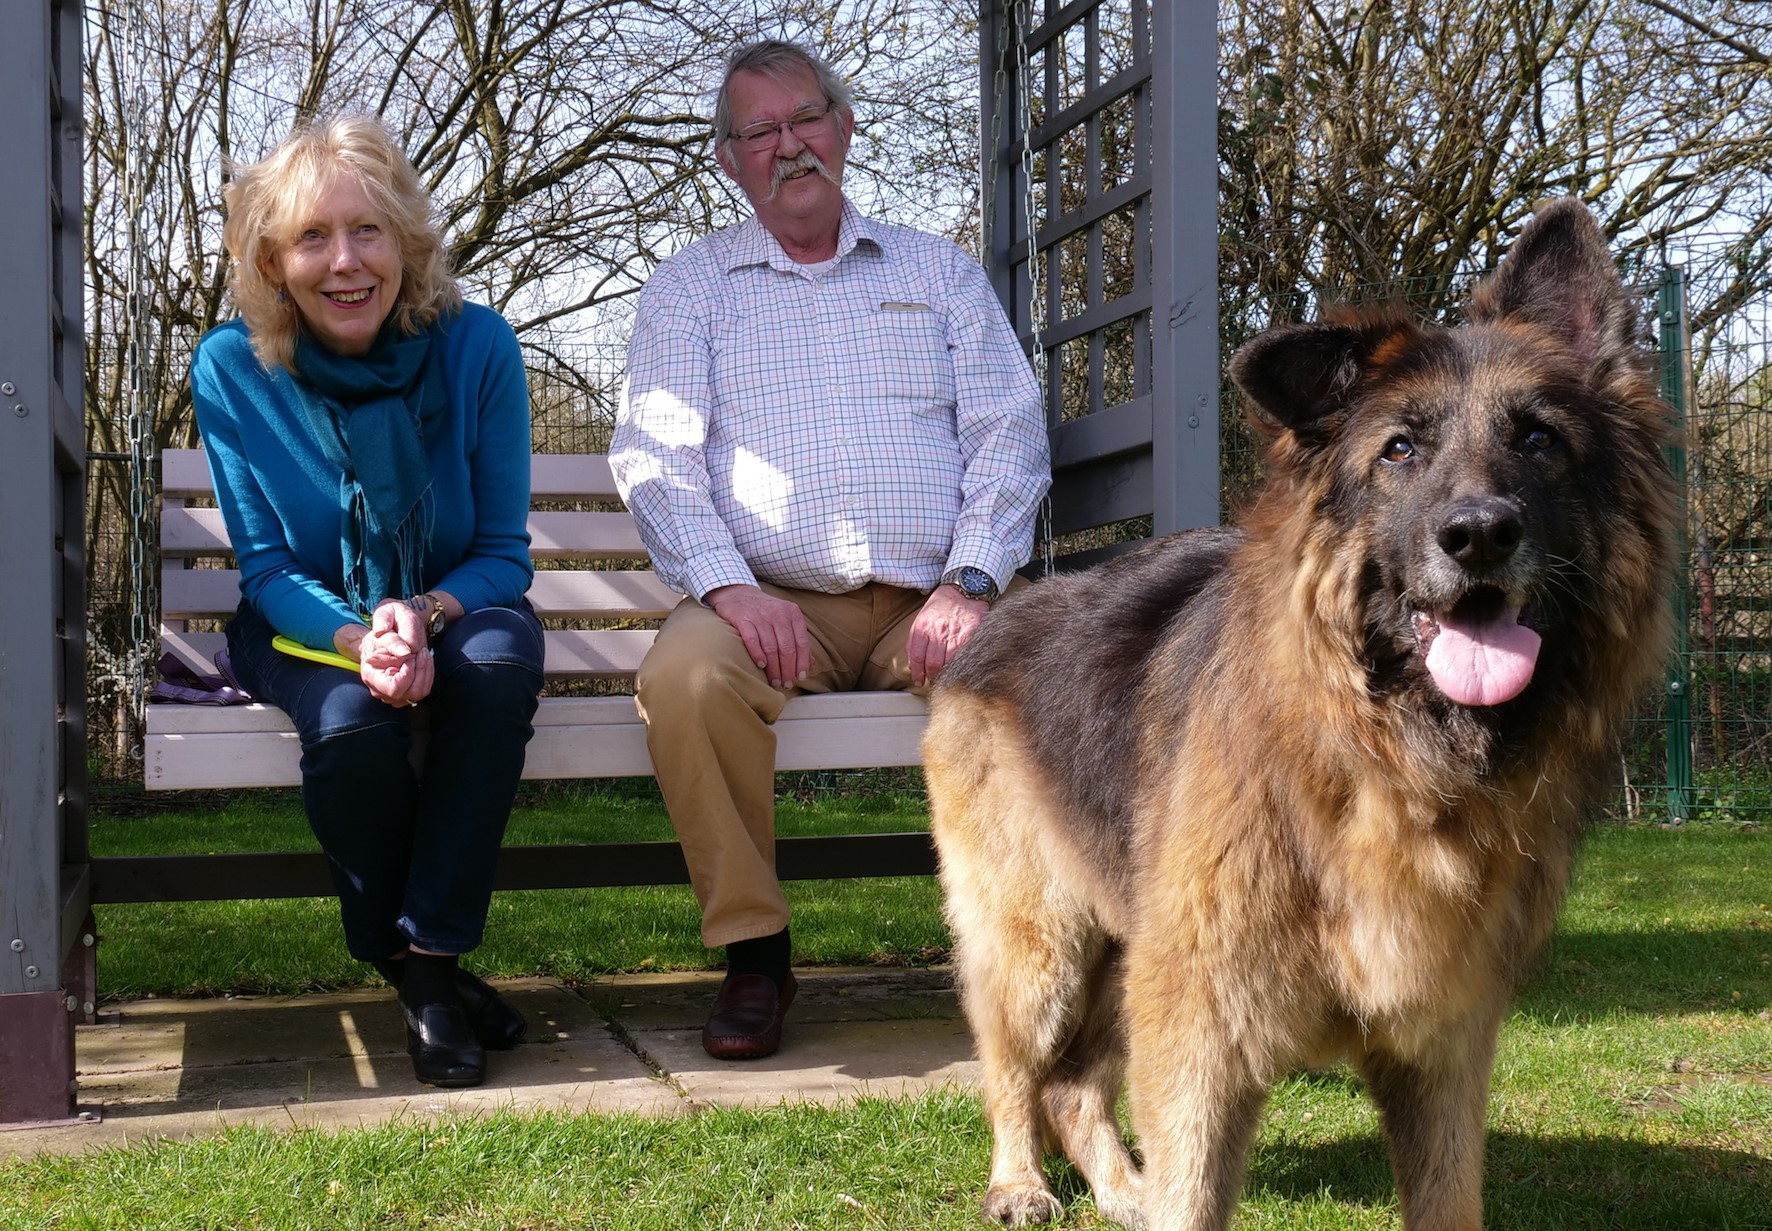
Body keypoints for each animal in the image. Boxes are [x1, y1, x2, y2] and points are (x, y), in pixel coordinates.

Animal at [928, 197, 1672, 1225]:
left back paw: (1123, 1190)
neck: (1385, 756)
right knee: (1012, 1065)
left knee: (1074, 1086)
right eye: (1400, 449)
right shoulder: (1200, 1026)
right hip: (1041, 944)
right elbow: (1192, 1193)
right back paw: (1019, 1183)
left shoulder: (1441, 1042)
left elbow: (1447, 1194)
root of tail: (1002, 611)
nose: (1479, 534)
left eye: (1539, 440)